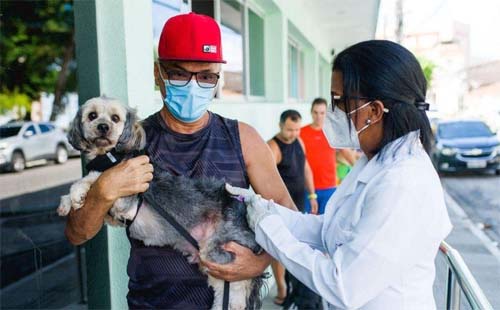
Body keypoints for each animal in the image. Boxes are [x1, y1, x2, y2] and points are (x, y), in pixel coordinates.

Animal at [57, 95, 264, 308]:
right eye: (92, 115)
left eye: (115, 118)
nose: (103, 127)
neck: (111, 156)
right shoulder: (115, 215)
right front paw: (68, 202)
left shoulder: (126, 201)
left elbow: (97, 177)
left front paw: (76, 191)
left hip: (220, 254)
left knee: (236, 295)